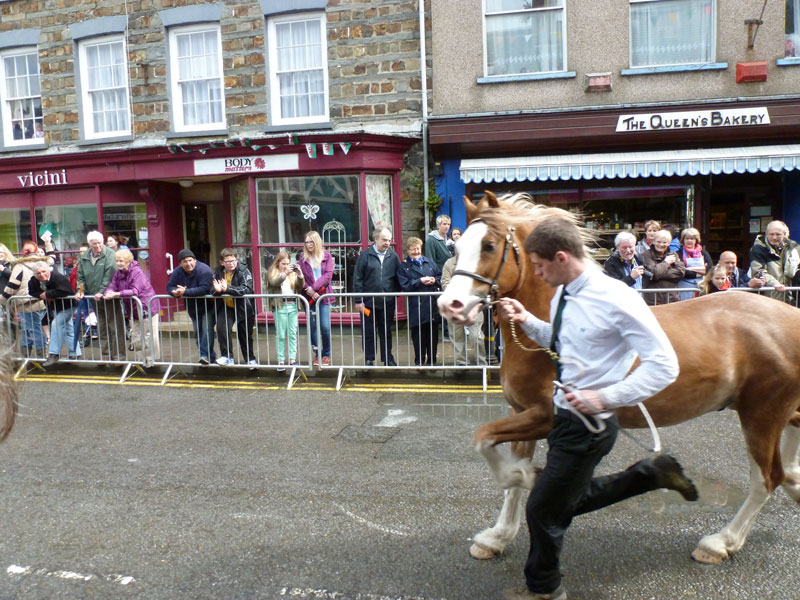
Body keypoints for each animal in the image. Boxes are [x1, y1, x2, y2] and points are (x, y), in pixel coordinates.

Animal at [438, 195, 800, 564]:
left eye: (489, 245)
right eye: (457, 246)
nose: (449, 305)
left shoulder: (544, 416)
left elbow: (487, 443)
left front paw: (525, 477)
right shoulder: (521, 412)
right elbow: (504, 468)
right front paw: (496, 537)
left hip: (761, 415)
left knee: (767, 478)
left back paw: (720, 542)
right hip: (780, 412)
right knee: (787, 462)